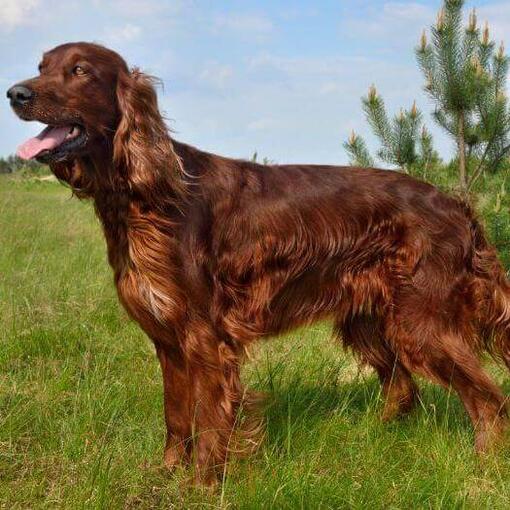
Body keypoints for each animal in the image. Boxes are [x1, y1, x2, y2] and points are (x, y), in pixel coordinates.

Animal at [5, 42, 510, 482]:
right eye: (42, 65)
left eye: (80, 70)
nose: (15, 93)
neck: (146, 196)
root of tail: (456, 204)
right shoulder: (166, 337)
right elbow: (175, 417)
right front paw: (166, 474)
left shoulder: (204, 337)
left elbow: (210, 421)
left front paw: (200, 485)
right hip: (369, 319)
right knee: (403, 388)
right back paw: (371, 441)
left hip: (420, 323)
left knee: (487, 398)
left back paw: (483, 467)